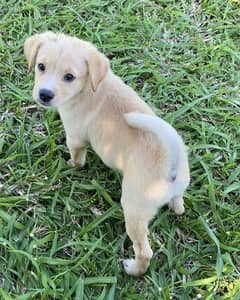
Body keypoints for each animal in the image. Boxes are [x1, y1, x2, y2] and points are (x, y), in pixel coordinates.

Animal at [23, 31, 189, 276]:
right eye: (41, 66)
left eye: (69, 77)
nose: (44, 95)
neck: (89, 86)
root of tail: (171, 159)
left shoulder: (75, 135)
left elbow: (77, 156)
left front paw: (70, 165)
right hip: (177, 189)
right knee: (179, 205)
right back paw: (175, 207)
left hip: (134, 209)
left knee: (144, 251)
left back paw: (133, 269)